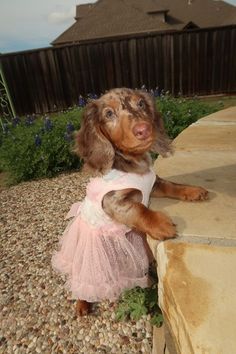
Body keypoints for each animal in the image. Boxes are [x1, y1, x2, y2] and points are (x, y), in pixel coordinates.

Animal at [74, 88, 208, 316]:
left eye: (141, 104)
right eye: (109, 114)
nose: (143, 130)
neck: (135, 163)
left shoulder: (155, 184)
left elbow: (173, 186)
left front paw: (193, 191)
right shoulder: (114, 202)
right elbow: (139, 209)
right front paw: (161, 224)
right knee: (83, 284)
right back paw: (82, 303)